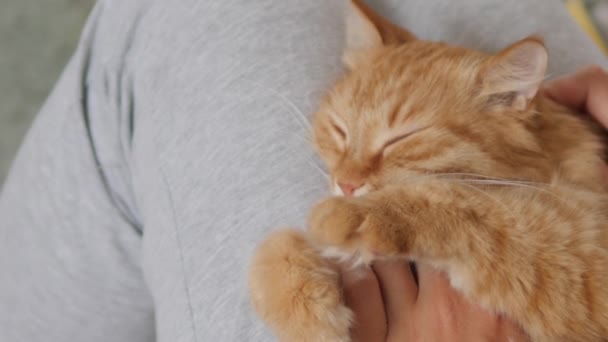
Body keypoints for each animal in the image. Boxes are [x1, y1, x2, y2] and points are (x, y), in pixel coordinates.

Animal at [248, 1, 608, 340]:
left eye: (401, 139)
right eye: (340, 130)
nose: (346, 185)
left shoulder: (585, 258)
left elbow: (469, 207)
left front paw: (357, 213)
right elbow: (276, 244)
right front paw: (301, 310)